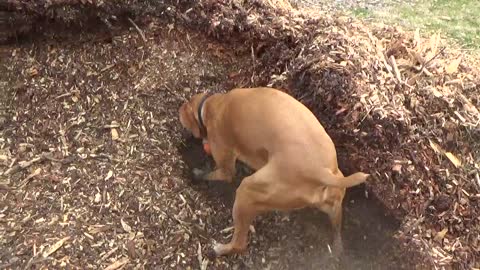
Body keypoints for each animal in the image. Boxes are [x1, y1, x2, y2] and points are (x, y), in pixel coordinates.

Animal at [178, 87, 370, 256]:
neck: (213, 105)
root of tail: (322, 173)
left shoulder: (225, 162)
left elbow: (221, 174)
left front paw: (198, 174)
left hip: (247, 191)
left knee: (240, 244)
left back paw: (220, 249)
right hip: (334, 203)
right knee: (337, 226)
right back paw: (337, 248)